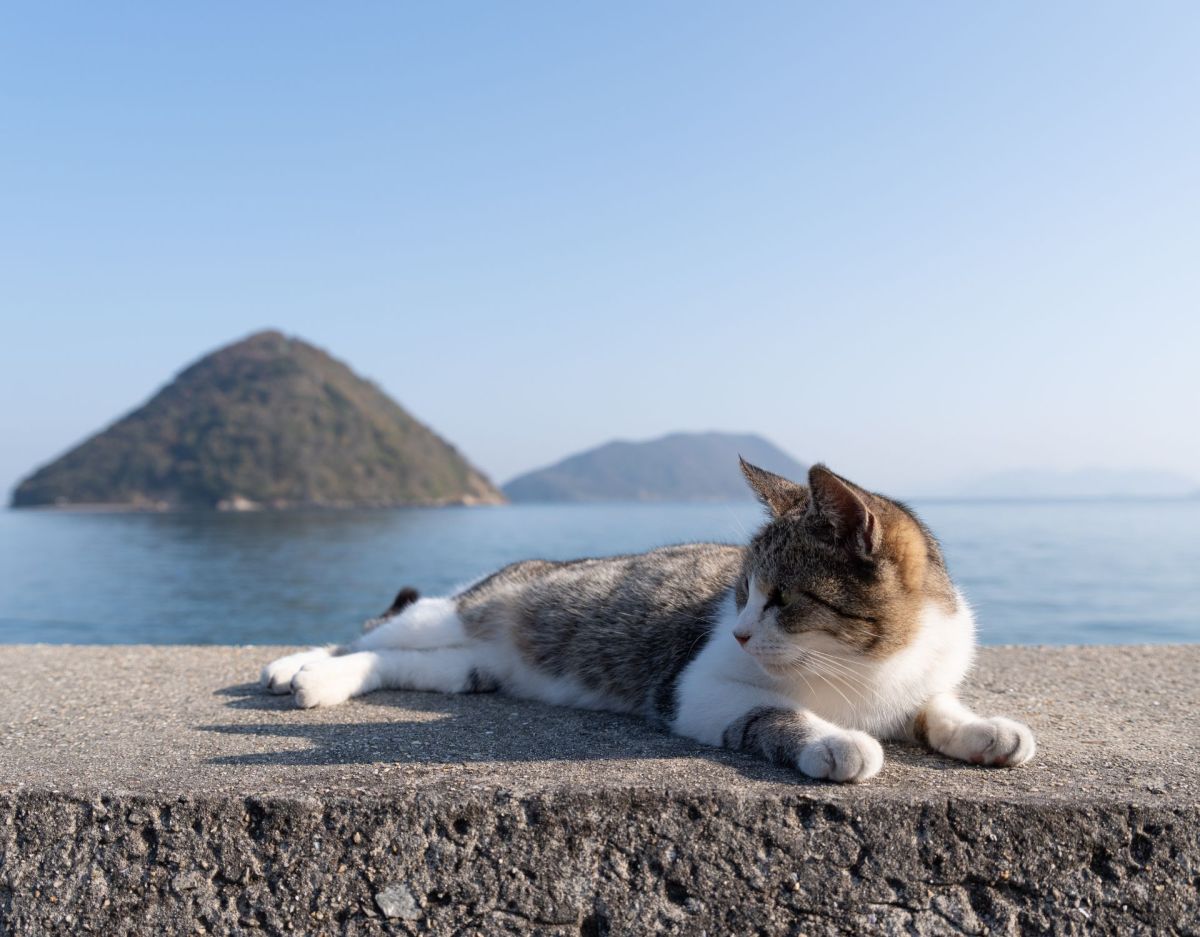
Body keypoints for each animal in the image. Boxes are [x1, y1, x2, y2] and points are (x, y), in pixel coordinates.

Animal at [260, 460, 1032, 782]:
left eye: (781, 598)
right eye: (740, 592)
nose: (742, 632)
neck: (869, 666)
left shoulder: (923, 678)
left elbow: (937, 707)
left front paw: (986, 731)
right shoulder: (694, 689)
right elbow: (778, 713)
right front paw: (835, 742)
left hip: (468, 667)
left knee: (397, 662)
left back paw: (322, 682)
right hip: (452, 612)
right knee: (365, 631)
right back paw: (293, 667)